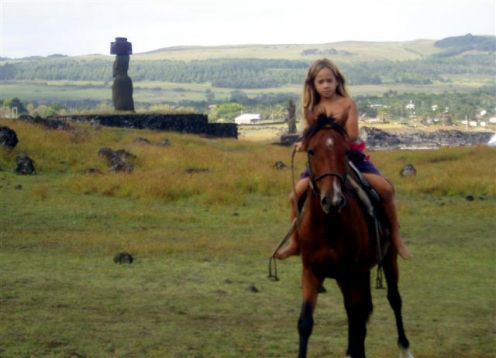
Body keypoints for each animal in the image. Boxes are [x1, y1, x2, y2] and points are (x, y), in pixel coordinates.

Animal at [292, 115, 412, 358]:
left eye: (346, 152)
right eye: (311, 151)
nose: (333, 200)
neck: (329, 226)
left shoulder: (351, 274)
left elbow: (358, 321)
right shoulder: (312, 272)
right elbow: (305, 323)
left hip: (387, 259)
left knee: (394, 300)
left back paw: (405, 348)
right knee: (359, 311)